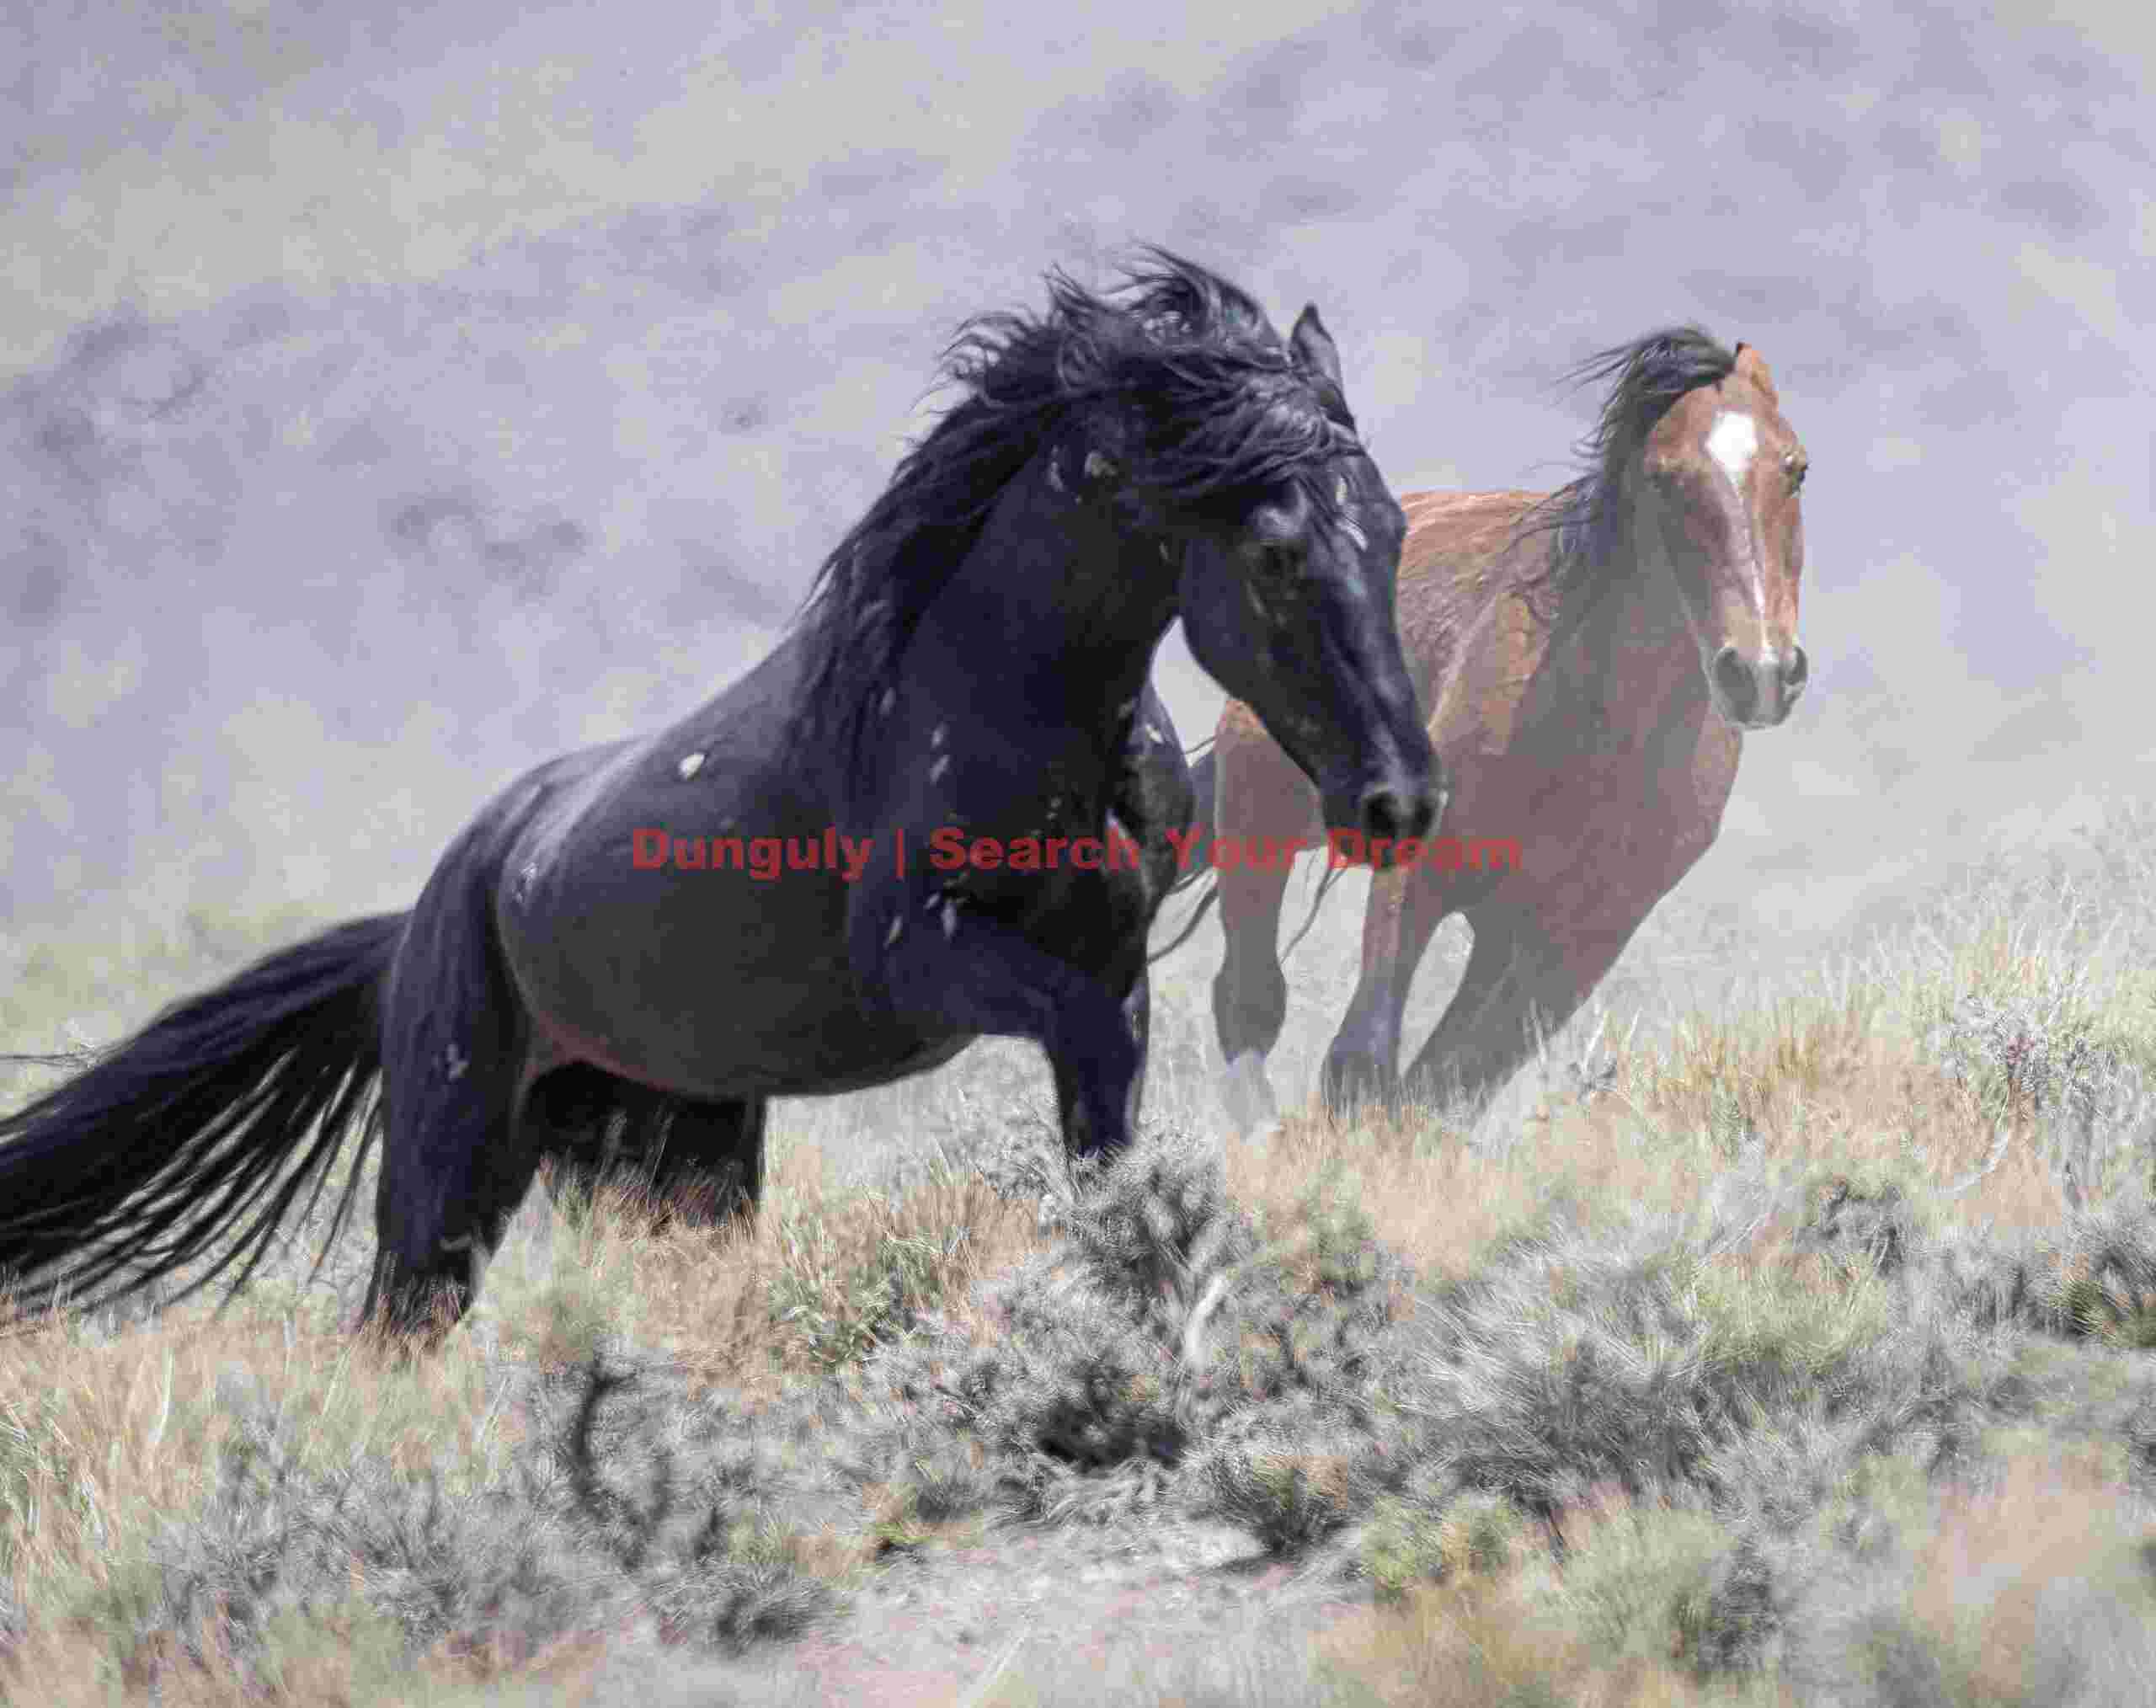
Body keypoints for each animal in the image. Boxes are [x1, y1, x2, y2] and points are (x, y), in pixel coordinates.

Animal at [0, 249, 1439, 1340]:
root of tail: (420, 919)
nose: (1402, 801)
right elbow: (1090, 1051)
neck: (986, 691)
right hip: (453, 1162)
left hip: (677, 1147)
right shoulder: (931, 955)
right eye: (1275, 548)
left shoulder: (1114, 956)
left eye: (1393, 529)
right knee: (397, 1329)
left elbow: (1109, 1112)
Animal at [1164, 329, 1809, 1129]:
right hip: (1261, 813)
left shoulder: (1579, 941)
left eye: (1796, 470)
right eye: (1663, 480)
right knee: (1248, 999)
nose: (1761, 672)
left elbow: (1448, 1084)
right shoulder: (1421, 872)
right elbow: (1362, 1061)